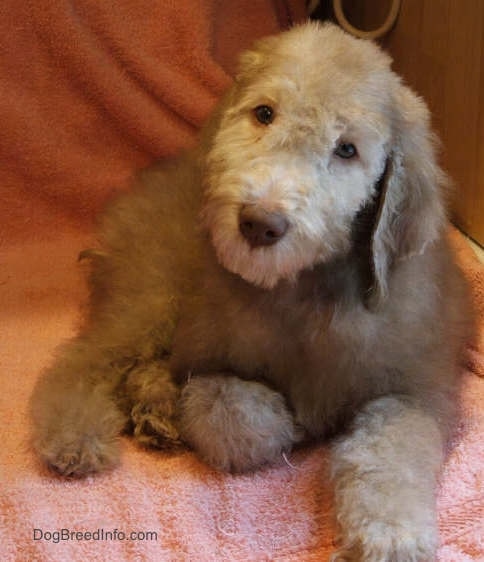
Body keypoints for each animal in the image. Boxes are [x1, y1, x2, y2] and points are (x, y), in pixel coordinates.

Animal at [29, 23, 472, 560]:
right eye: (264, 113)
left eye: (347, 149)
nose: (260, 223)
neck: (300, 292)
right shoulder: (205, 355)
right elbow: (236, 416)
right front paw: (292, 425)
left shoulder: (416, 392)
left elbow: (388, 456)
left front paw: (390, 538)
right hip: (150, 296)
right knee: (85, 360)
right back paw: (76, 436)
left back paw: (155, 414)